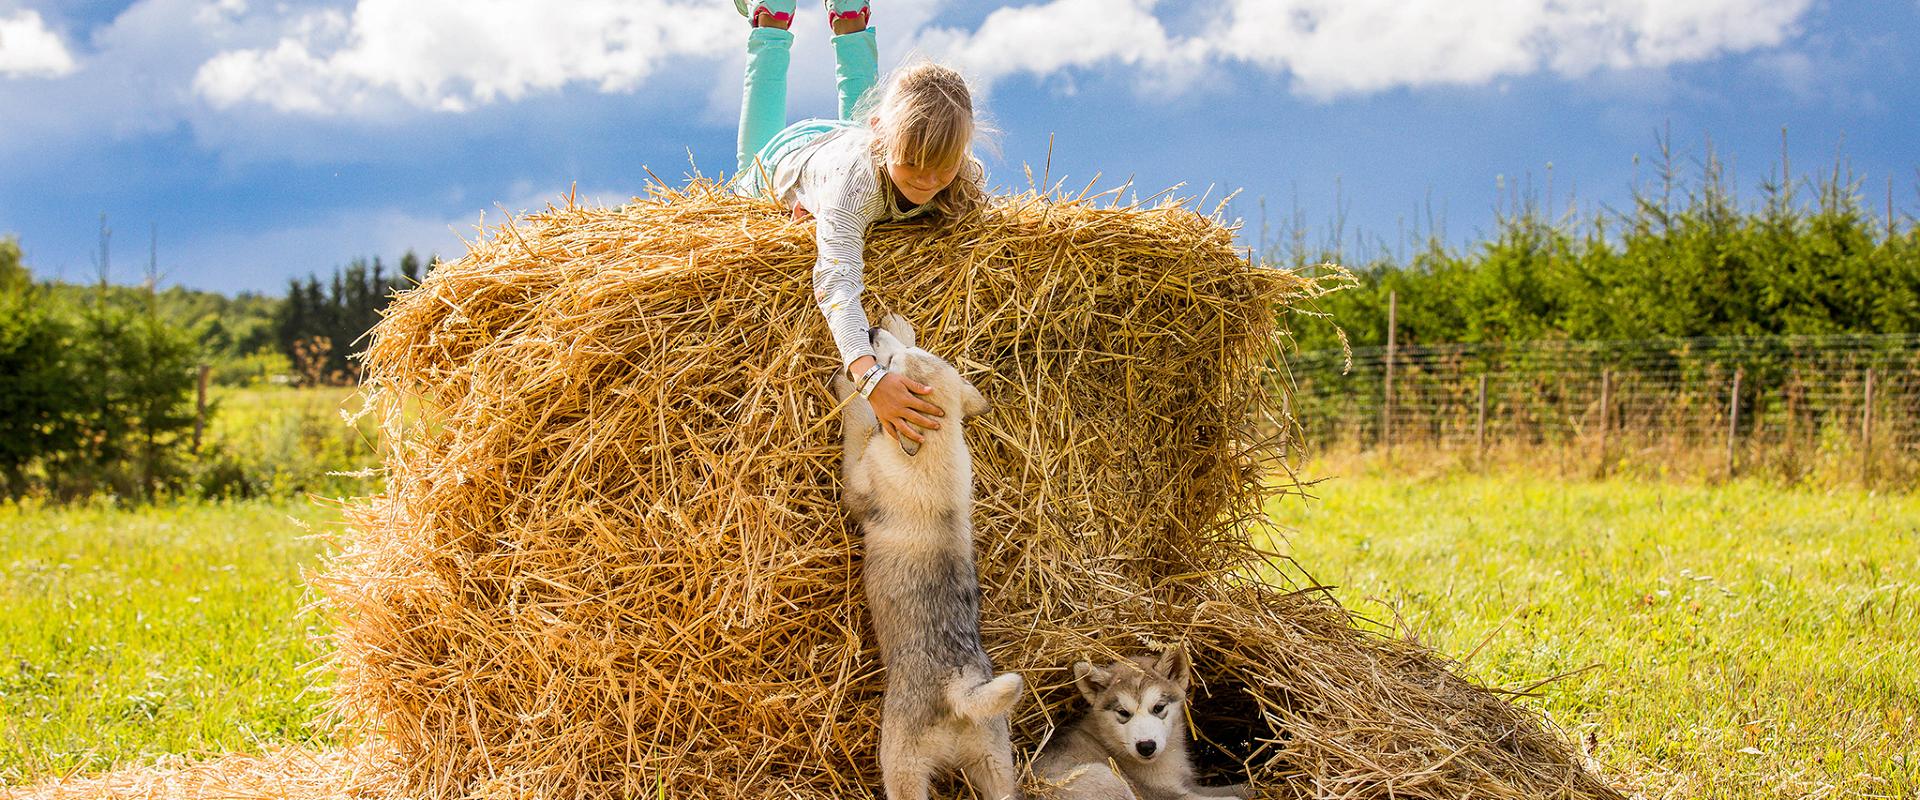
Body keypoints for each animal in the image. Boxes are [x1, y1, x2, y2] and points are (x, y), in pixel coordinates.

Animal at [833, 314, 1029, 798]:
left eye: (889, 367)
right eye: (906, 353)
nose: (869, 335)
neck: (934, 452)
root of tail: (959, 692)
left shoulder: (857, 482)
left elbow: (860, 421)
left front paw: (849, 384)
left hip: (902, 764)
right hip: (995, 761)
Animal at [1036, 648, 1244, 798]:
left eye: (1159, 707)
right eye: (1123, 712)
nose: (1146, 747)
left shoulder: (1188, 785)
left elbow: (1238, 788)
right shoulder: (1166, 795)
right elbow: (1232, 798)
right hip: (1106, 776)